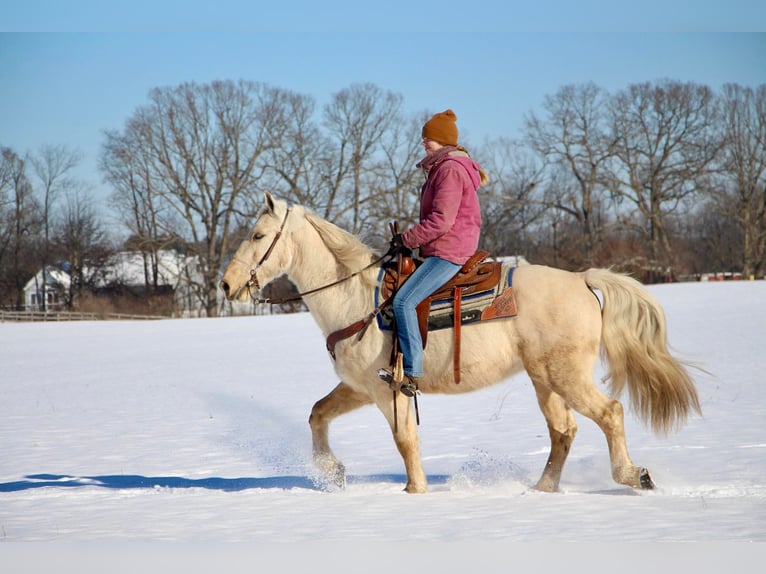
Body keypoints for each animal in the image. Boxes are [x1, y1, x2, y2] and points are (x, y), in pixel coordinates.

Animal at [222, 194, 704, 496]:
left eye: (259, 236)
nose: (227, 284)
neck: (356, 299)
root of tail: (582, 279)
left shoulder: (388, 390)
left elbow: (405, 441)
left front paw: (413, 490)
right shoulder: (361, 387)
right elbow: (317, 414)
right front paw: (333, 472)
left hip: (564, 376)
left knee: (610, 413)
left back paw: (633, 476)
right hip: (544, 380)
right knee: (563, 431)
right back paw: (541, 490)